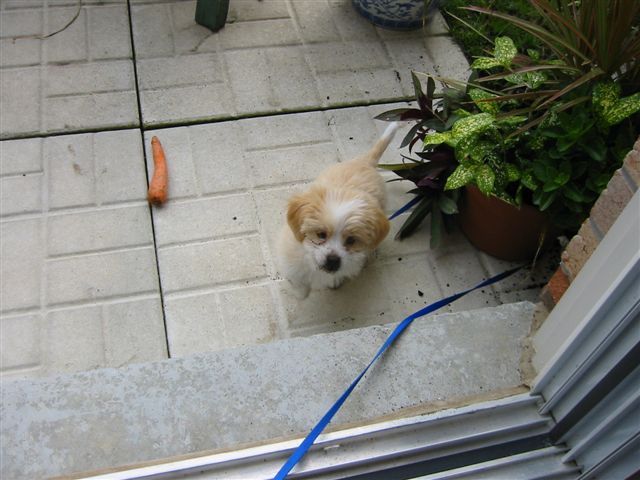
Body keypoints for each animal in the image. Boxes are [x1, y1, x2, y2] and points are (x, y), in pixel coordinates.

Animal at [278, 122, 398, 298]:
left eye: (351, 240)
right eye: (321, 234)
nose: (333, 260)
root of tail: (366, 162)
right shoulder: (291, 259)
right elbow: (299, 284)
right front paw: (299, 292)